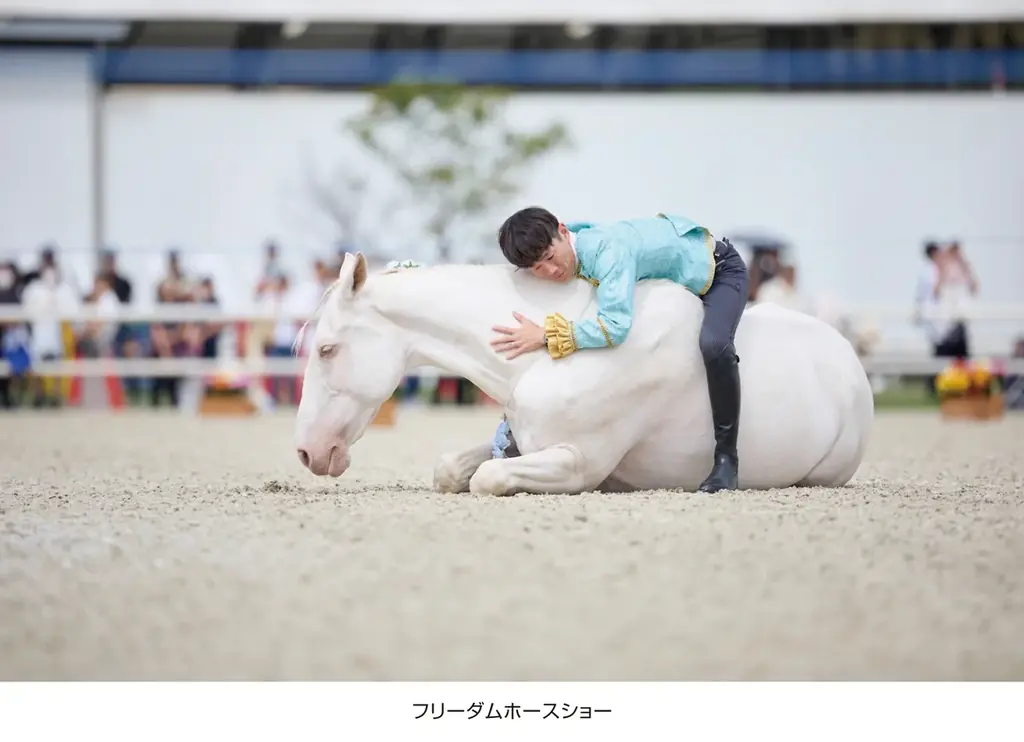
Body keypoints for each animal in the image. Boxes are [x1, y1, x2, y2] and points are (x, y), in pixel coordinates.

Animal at [294, 252, 874, 496]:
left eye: (326, 349)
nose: (306, 452)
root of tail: (851, 361)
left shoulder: (574, 462)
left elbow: (488, 478)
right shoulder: (526, 442)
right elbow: (451, 469)